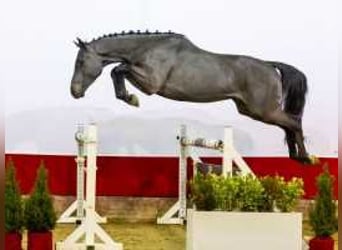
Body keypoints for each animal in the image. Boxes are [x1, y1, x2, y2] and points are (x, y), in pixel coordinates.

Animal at [69, 29, 312, 164]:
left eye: (80, 62)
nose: (74, 92)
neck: (147, 48)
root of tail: (270, 66)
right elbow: (118, 70)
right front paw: (128, 97)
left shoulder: (151, 83)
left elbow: (118, 69)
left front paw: (131, 99)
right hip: (251, 110)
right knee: (288, 125)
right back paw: (295, 157)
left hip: (263, 110)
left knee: (294, 121)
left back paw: (306, 158)